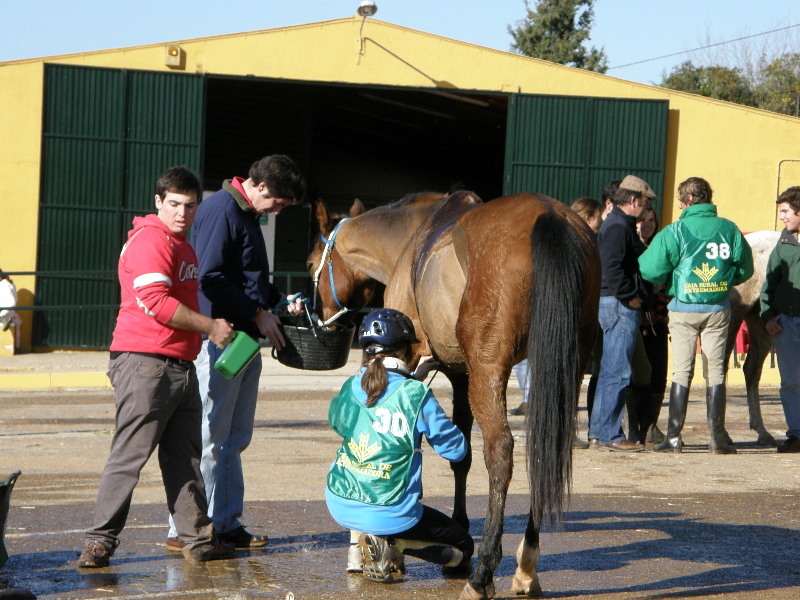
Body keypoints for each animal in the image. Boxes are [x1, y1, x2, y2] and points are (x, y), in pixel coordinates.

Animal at [310, 191, 596, 600]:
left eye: (311, 263)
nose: (320, 319)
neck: (412, 236)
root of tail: (550, 215)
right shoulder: (461, 375)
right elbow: (461, 456)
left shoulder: (415, 362)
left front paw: (375, 546)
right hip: (563, 369)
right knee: (542, 451)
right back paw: (526, 565)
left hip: (490, 372)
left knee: (500, 452)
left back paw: (483, 574)